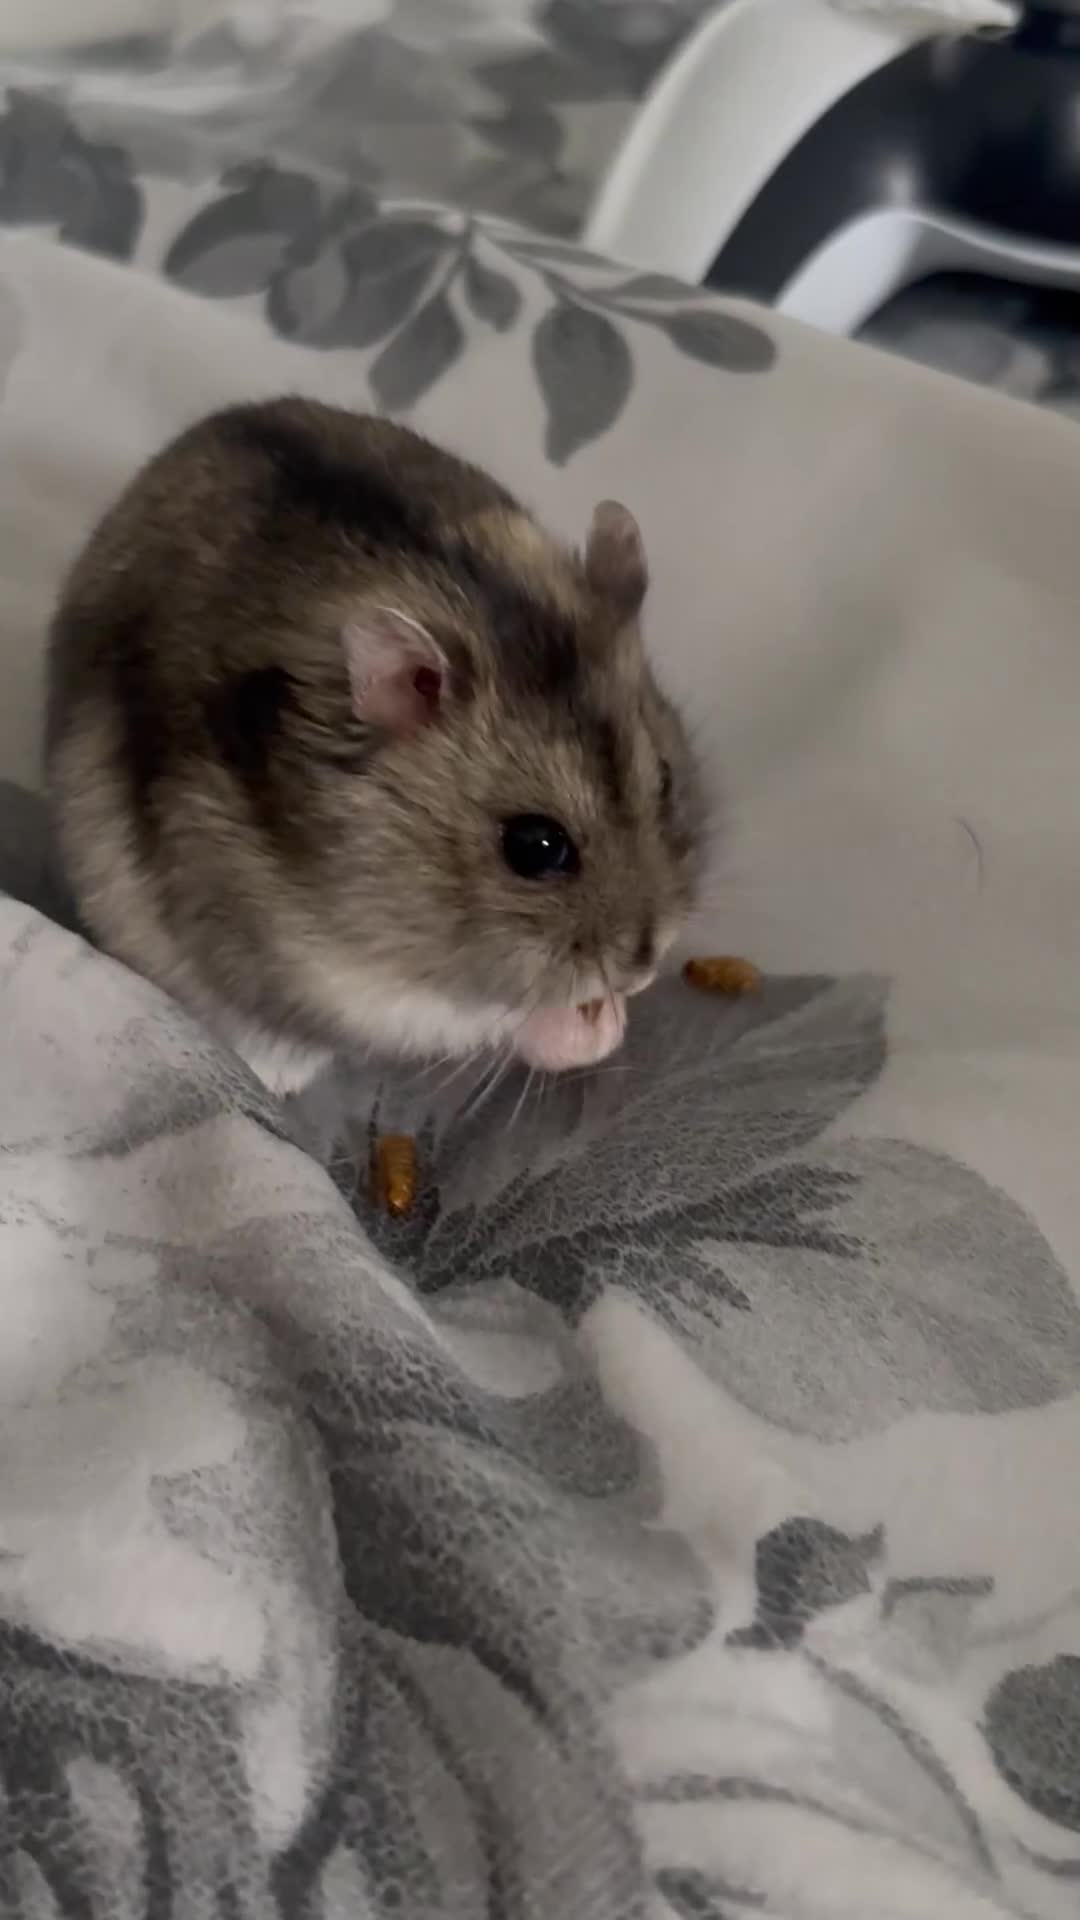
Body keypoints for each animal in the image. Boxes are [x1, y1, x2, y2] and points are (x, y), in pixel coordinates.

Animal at [47, 398, 704, 1095]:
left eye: (665, 781)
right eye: (536, 847)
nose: (647, 966)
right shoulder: (330, 976)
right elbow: (469, 1019)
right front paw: (592, 1027)